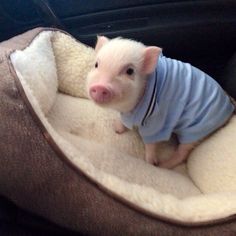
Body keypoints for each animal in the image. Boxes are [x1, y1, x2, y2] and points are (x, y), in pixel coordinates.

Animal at [86, 35, 234, 168]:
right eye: (96, 64)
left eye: (130, 71)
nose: (99, 87)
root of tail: (229, 106)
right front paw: (116, 129)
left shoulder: (157, 120)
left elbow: (151, 143)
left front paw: (151, 163)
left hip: (196, 129)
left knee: (183, 153)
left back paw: (165, 165)